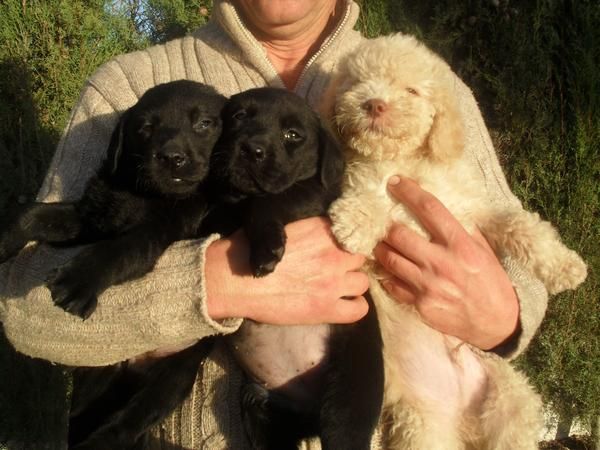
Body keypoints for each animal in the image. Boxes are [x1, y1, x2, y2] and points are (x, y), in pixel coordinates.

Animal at [0, 79, 227, 448]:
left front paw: (79, 280)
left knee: (132, 419)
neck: (142, 194)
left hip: (175, 375)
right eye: (146, 127)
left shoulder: (156, 233)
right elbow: (34, 214)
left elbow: (118, 250)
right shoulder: (89, 218)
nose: (171, 158)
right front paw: (2, 239)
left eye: (204, 124)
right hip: (95, 379)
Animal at [209, 88, 382, 450]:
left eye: (293, 135)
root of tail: (311, 415)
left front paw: (265, 249)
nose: (251, 149)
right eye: (239, 116)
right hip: (260, 409)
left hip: (349, 401)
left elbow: (269, 200)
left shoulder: (313, 197)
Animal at [326, 33, 588, 448]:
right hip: (426, 427)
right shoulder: (368, 193)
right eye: (356, 83)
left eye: (412, 90)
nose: (375, 104)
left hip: (512, 397)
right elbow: (371, 200)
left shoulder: (472, 212)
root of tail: (465, 423)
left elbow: (522, 225)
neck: (408, 163)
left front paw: (565, 266)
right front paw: (355, 222)